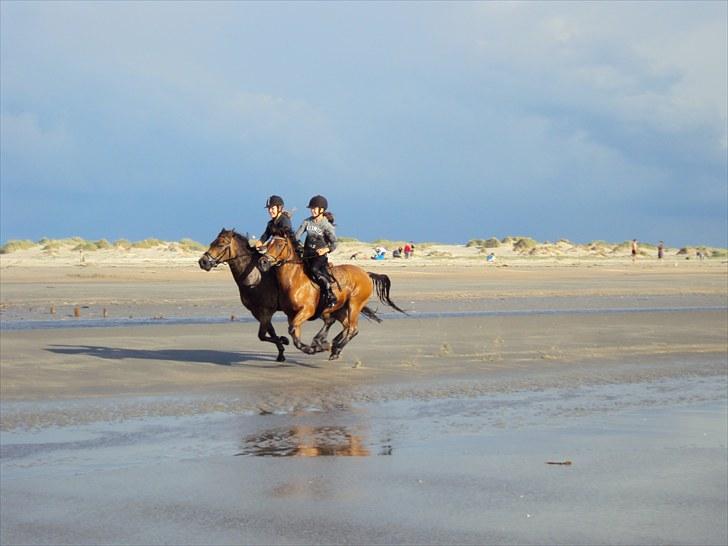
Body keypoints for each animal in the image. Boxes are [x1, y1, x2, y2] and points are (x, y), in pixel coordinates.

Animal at [258, 233, 406, 356]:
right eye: (268, 244)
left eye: (279, 245)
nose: (262, 262)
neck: (294, 279)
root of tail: (366, 274)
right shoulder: (291, 315)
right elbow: (295, 335)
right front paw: (314, 346)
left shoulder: (307, 311)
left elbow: (293, 331)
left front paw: (313, 347)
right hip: (339, 308)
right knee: (344, 325)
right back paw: (331, 343)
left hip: (354, 305)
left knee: (352, 328)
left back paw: (335, 349)